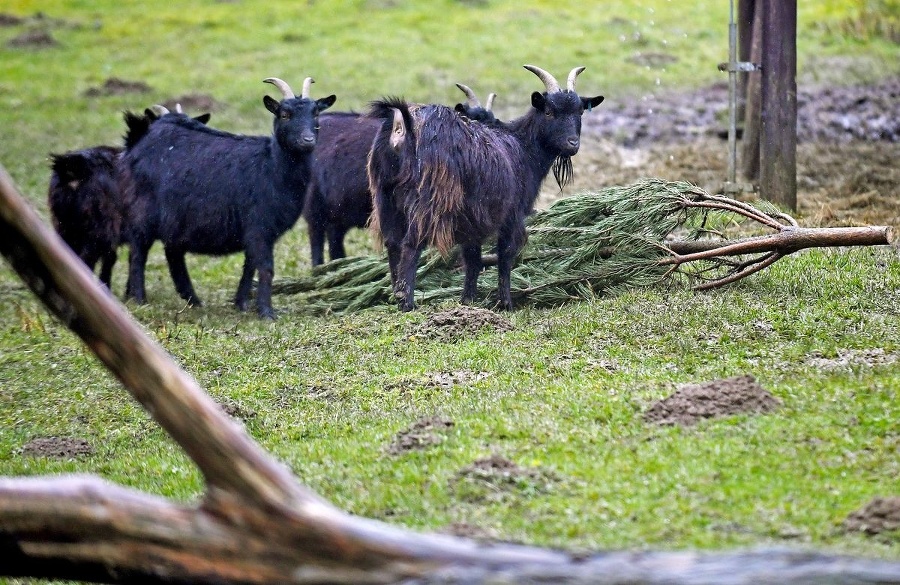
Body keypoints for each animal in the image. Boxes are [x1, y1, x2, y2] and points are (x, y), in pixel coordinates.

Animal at [121, 76, 336, 320]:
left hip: (175, 220)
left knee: (171, 253)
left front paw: (241, 303)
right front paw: (266, 313)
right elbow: (265, 267)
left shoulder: (256, 231)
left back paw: (192, 301)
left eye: (315, 113)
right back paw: (140, 299)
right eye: (284, 114)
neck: (271, 167)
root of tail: (137, 143)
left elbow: (250, 266)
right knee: (138, 252)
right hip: (143, 213)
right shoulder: (259, 225)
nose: (307, 140)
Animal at [366, 64, 604, 310]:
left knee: (393, 243)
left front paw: (468, 300)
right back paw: (407, 302)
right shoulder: (512, 214)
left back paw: (396, 294)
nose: (572, 143)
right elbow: (505, 255)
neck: (523, 147)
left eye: (580, 112)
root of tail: (403, 125)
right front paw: (506, 303)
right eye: (548, 111)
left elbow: (473, 258)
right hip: (428, 199)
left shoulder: (472, 220)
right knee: (411, 243)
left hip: (385, 197)